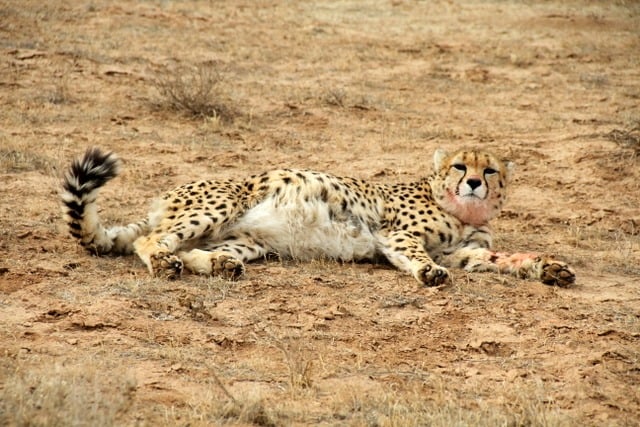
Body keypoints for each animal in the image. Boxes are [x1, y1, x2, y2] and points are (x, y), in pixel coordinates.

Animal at [61, 147, 576, 288]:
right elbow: (416, 254)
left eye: (489, 170)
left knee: (195, 253)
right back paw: (165, 263)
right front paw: (429, 272)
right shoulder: (396, 235)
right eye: (458, 166)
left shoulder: (468, 253)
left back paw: (222, 265)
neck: (463, 213)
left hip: (246, 239)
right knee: (153, 243)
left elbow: (502, 259)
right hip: (222, 203)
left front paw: (548, 267)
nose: (473, 183)